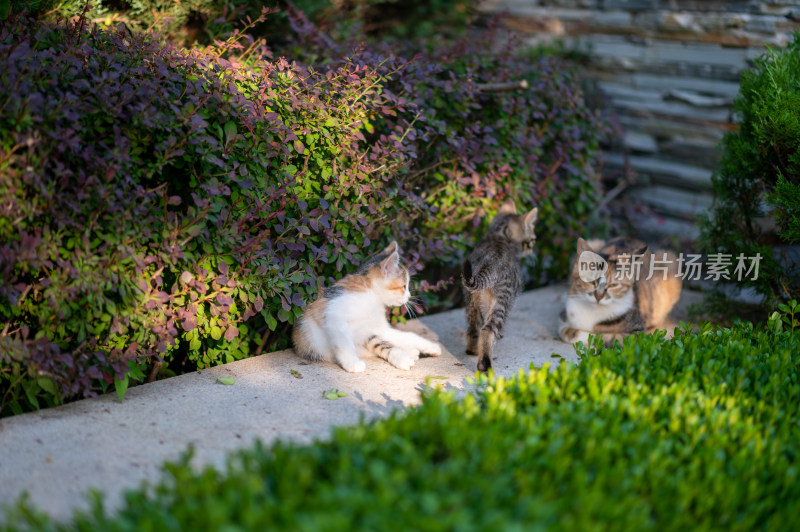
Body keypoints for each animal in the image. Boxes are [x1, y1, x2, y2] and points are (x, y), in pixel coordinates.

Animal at [294, 240, 444, 370]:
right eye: (404, 286)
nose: (408, 296)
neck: (372, 296)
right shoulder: (334, 317)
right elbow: (344, 343)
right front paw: (352, 363)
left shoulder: (376, 328)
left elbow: (405, 336)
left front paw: (430, 346)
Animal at [462, 201, 536, 374]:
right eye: (532, 239)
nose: (532, 247)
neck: (499, 237)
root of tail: (490, 262)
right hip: (502, 302)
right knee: (487, 330)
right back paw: (485, 365)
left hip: (471, 301)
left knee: (473, 328)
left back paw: (472, 350)